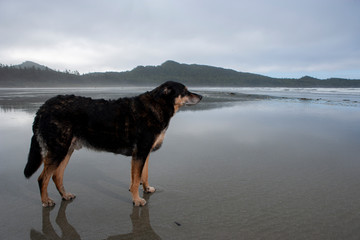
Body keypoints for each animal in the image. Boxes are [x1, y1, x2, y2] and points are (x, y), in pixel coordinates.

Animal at [23, 81, 201, 207]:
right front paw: (137, 200)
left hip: (67, 150)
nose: (201, 97)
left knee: (56, 176)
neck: (157, 106)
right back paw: (46, 201)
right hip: (58, 150)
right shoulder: (140, 153)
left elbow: (143, 175)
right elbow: (136, 180)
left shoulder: (145, 153)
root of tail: (43, 107)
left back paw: (65, 195)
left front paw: (146, 189)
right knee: (42, 178)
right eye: (185, 91)